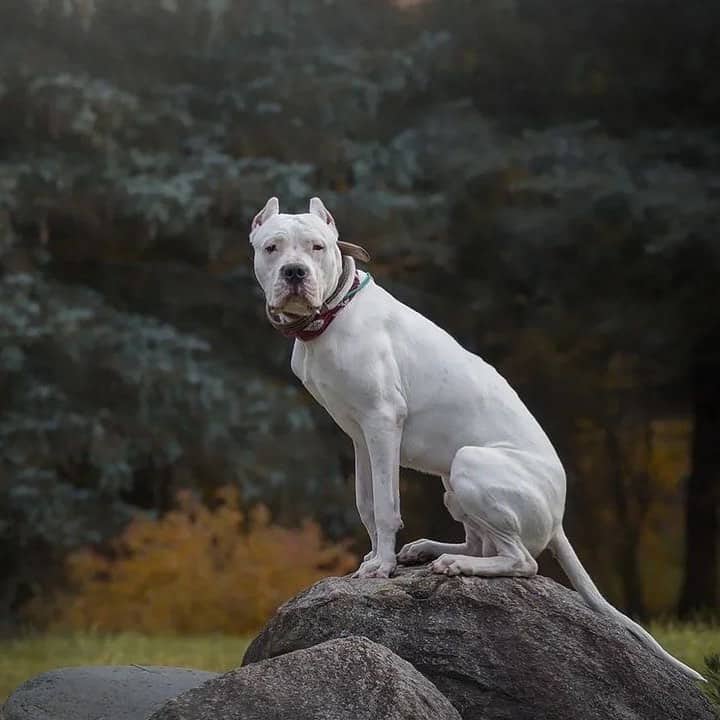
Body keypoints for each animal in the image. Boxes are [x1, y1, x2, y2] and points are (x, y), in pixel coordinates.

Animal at [249, 195, 704, 680]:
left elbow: (387, 507)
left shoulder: (382, 423)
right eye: (272, 247)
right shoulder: (358, 435)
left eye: (317, 247)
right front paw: (376, 559)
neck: (332, 315)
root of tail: (558, 515)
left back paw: (456, 562)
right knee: (482, 542)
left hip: (470, 463)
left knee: (522, 560)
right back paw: (431, 551)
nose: (294, 273)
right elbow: (367, 505)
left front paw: (382, 566)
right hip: (452, 484)